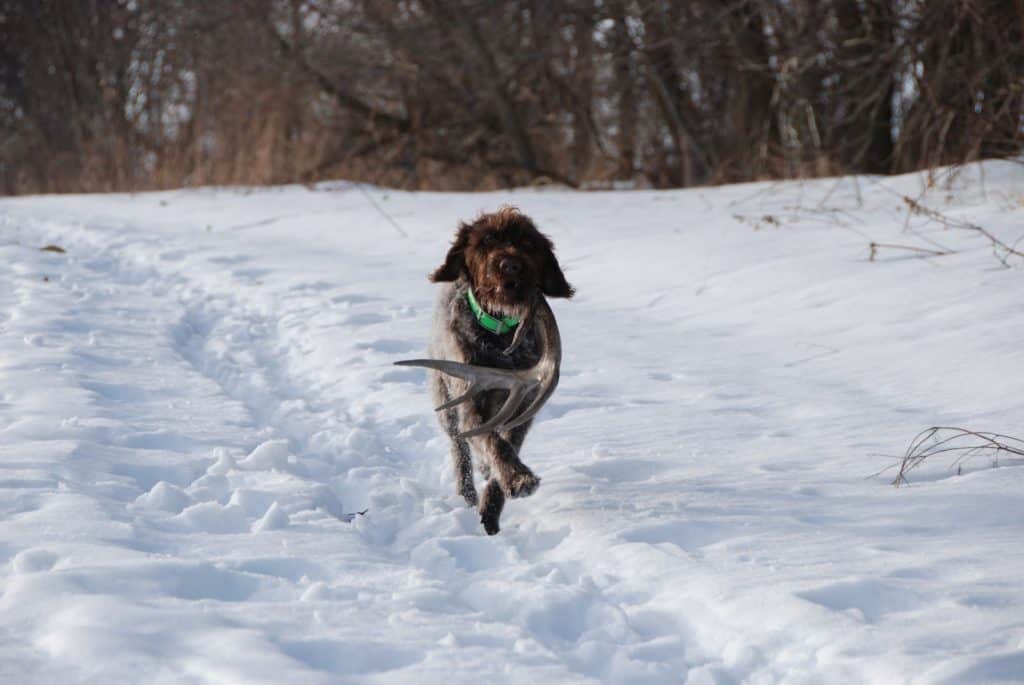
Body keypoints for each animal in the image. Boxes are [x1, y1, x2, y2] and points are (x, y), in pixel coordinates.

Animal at [399, 206, 577, 532]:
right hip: (445, 402)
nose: (510, 265)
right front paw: (518, 479)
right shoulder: (470, 399)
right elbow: (492, 442)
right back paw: (466, 492)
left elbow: (506, 447)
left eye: (528, 244)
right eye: (486, 241)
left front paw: (493, 508)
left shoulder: (524, 406)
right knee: (460, 447)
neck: (500, 332)